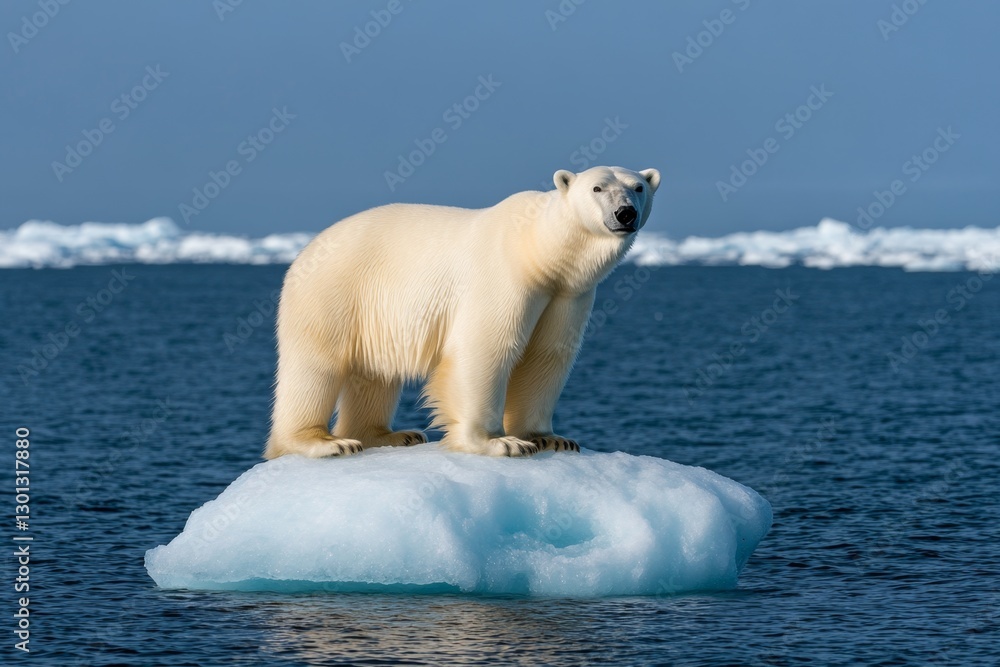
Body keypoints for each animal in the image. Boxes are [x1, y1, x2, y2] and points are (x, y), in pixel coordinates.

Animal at [264, 165, 660, 459]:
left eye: (638, 187)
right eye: (597, 188)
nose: (625, 213)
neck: (539, 251)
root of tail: (304, 250)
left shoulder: (568, 294)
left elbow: (546, 356)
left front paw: (551, 438)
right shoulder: (503, 276)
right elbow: (485, 349)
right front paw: (499, 442)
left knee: (374, 373)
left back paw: (389, 435)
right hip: (333, 292)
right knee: (316, 367)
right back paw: (324, 442)